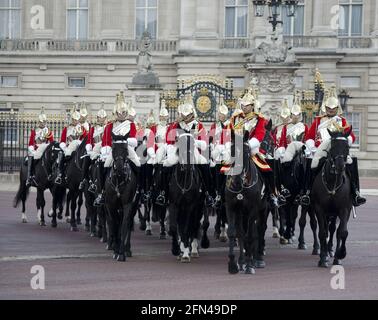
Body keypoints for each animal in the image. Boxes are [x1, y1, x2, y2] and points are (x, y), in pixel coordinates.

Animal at [104, 134, 138, 262]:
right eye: (113, 149)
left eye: (125, 149)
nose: (119, 169)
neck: (119, 179)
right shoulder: (111, 205)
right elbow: (114, 224)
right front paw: (116, 250)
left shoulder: (127, 204)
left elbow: (123, 226)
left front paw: (121, 253)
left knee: (128, 223)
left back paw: (127, 249)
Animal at [224, 131, 266, 274]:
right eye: (232, 151)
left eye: (247, 153)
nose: (236, 181)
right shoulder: (231, 207)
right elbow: (234, 232)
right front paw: (233, 264)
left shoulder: (253, 209)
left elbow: (250, 235)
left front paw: (249, 266)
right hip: (242, 212)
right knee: (242, 232)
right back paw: (242, 261)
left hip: (262, 209)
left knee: (258, 230)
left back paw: (256, 260)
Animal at [312, 128, 352, 268]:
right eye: (333, 146)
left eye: (347, 147)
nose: (340, 166)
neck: (333, 182)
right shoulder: (319, 209)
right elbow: (323, 232)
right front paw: (323, 258)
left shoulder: (344, 209)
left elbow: (342, 232)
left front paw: (340, 255)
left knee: (334, 229)